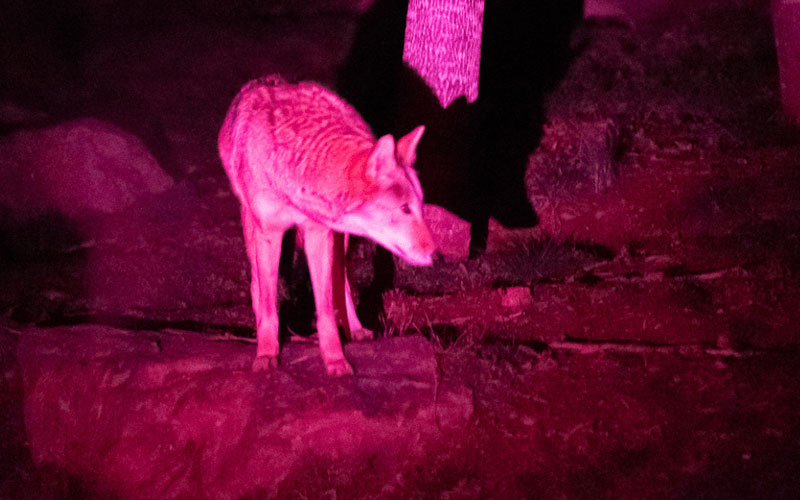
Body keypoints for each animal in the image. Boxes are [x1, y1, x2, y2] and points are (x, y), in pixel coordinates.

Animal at [218, 76, 435, 376]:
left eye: (420, 206)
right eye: (404, 209)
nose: (435, 254)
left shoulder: (319, 233)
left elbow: (325, 311)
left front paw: (335, 360)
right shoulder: (269, 233)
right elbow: (270, 305)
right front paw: (266, 353)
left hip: (340, 240)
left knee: (342, 284)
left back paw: (356, 329)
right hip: (252, 228)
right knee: (257, 283)